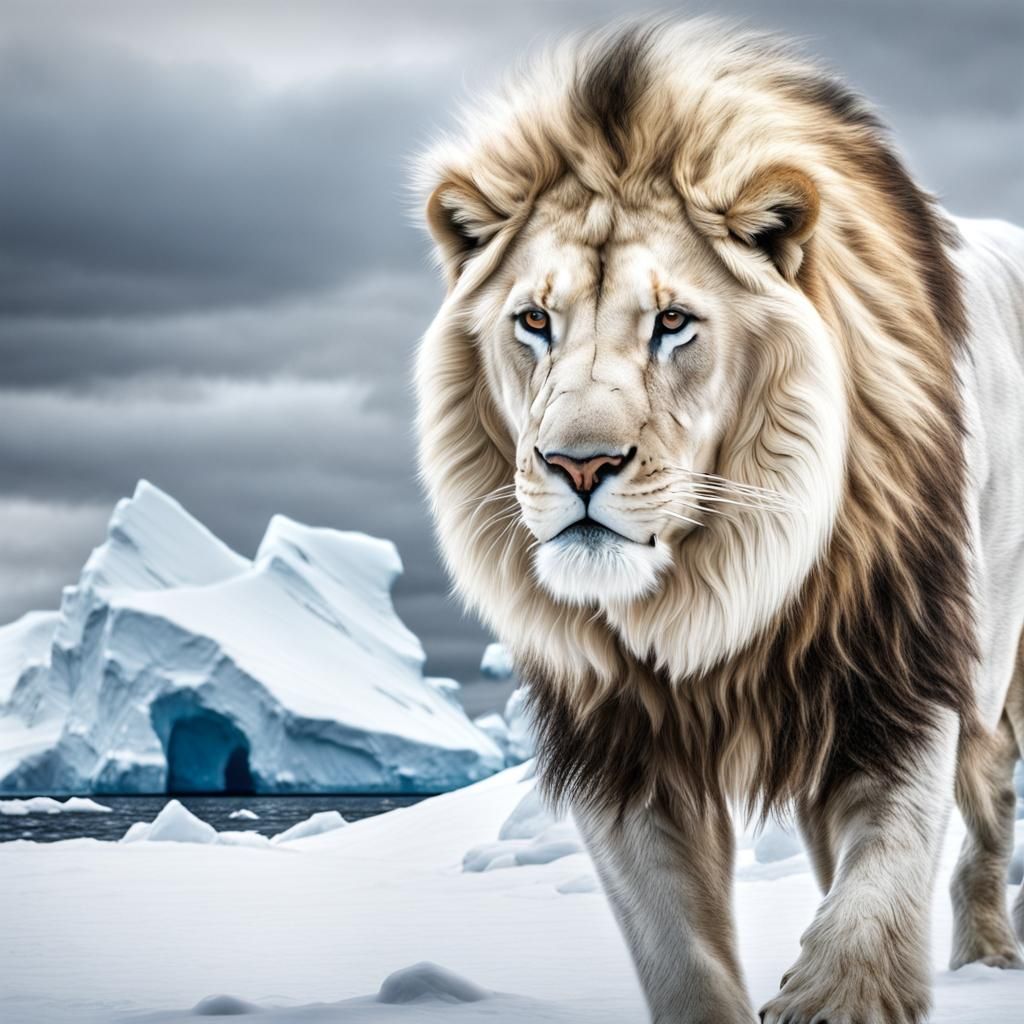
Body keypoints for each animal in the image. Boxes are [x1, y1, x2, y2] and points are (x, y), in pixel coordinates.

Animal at [413, 19, 1024, 1024]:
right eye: (534, 320)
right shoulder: (620, 743)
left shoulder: (899, 674)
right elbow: (680, 951)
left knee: (986, 817)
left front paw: (838, 996)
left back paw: (986, 962)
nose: (580, 463)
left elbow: (882, 878)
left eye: (672, 322)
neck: (716, 591)